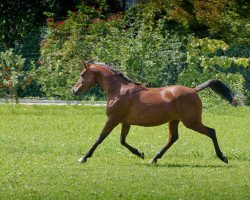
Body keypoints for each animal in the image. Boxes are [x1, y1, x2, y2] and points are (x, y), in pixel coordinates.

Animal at [72, 61, 238, 164]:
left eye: (81, 75)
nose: (74, 90)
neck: (119, 90)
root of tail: (194, 90)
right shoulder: (125, 122)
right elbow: (122, 141)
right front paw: (140, 153)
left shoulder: (113, 119)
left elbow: (100, 138)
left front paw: (83, 158)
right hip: (175, 121)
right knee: (173, 138)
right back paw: (154, 158)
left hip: (191, 122)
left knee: (211, 131)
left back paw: (223, 157)